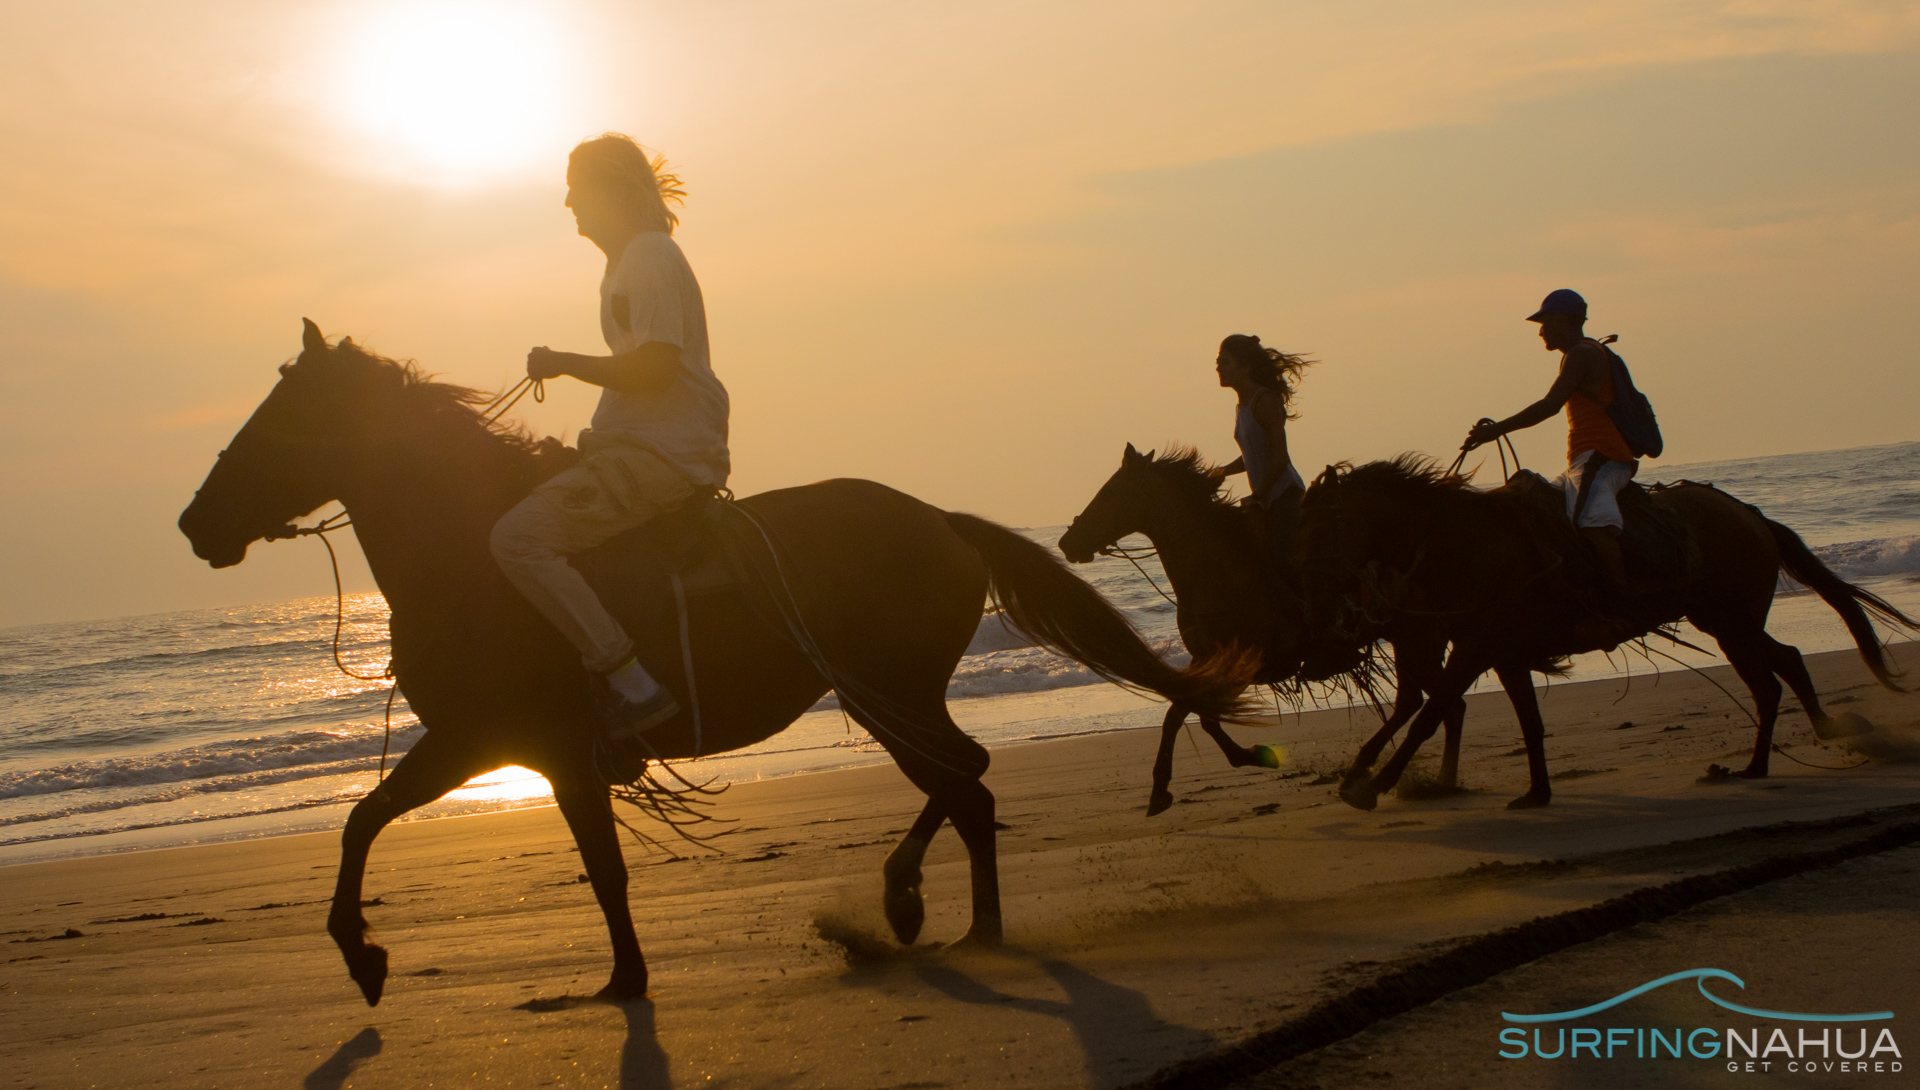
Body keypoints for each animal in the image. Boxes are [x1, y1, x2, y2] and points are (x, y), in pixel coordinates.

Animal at [180, 322, 1244, 1005]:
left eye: (276, 417)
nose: (194, 524)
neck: (470, 555)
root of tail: (941, 519)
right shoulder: (486, 745)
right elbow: (368, 821)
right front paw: (366, 957)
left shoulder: (527, 747)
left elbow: (590, 867)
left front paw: (618, 981)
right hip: (882, 698)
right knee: (968, 788)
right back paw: (964, 926)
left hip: (886, 692)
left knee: (966, 777)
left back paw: (911, 904)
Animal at [1059, 441, 1474, 809]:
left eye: (1110, 493)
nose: (1067, 542)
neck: (1219, 572)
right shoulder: (1207, 659)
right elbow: (1188, 714)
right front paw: (1168, 786)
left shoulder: (1252, 663)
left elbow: (1189, 712)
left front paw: (1244, 759)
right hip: (1418, 640)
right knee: (1445, 703)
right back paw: (1440, 780)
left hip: (1412, 637)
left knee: (1425, 701)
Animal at [1297, 458, 1912, 809]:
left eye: (1323, 525)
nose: (1312, 594)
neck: (1468, 543)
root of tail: (1749, 514)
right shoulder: (1502, 653)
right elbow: (1527, 722)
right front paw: (1537, 792)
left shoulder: (1474, 649)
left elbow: (1429, 714)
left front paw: (1368, 786)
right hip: (1723, 621)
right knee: (1783, 663)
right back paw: (1799, 742)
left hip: (1733, 621)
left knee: (1772, 677)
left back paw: (1774, 756)